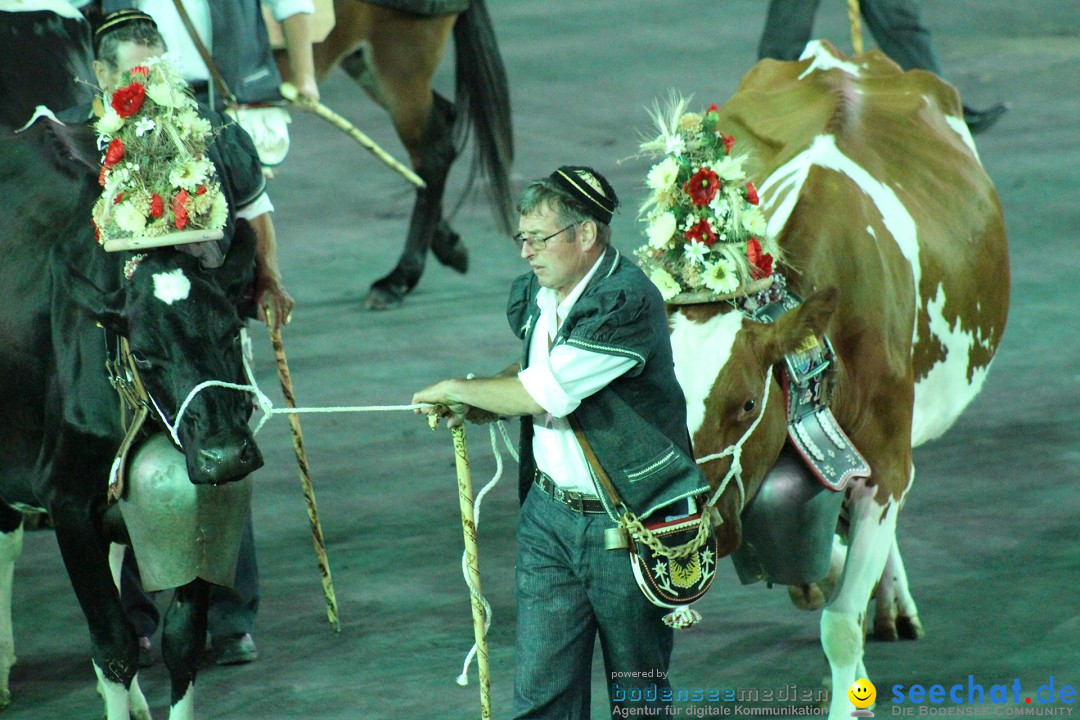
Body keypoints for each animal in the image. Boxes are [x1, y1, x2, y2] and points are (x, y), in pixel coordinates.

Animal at [0, 120, 263, 716]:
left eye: (231, 330)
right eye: (142, 354)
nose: (223, 455)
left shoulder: (192, 504)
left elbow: (181, 644)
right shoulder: (66, 497)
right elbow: (113, 644)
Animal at [298, 0, 516, 310]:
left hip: (401, 65)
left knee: (433, 154)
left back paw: (398, 278)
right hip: (363, 58)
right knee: (442, 121)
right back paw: (448, 246)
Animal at [669, 40, 1006, 720]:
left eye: (746, 403)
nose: (691, 529)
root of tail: (834, 53)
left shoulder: (885, 457)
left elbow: (840, 624)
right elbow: (817, 560)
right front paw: (828, 574)